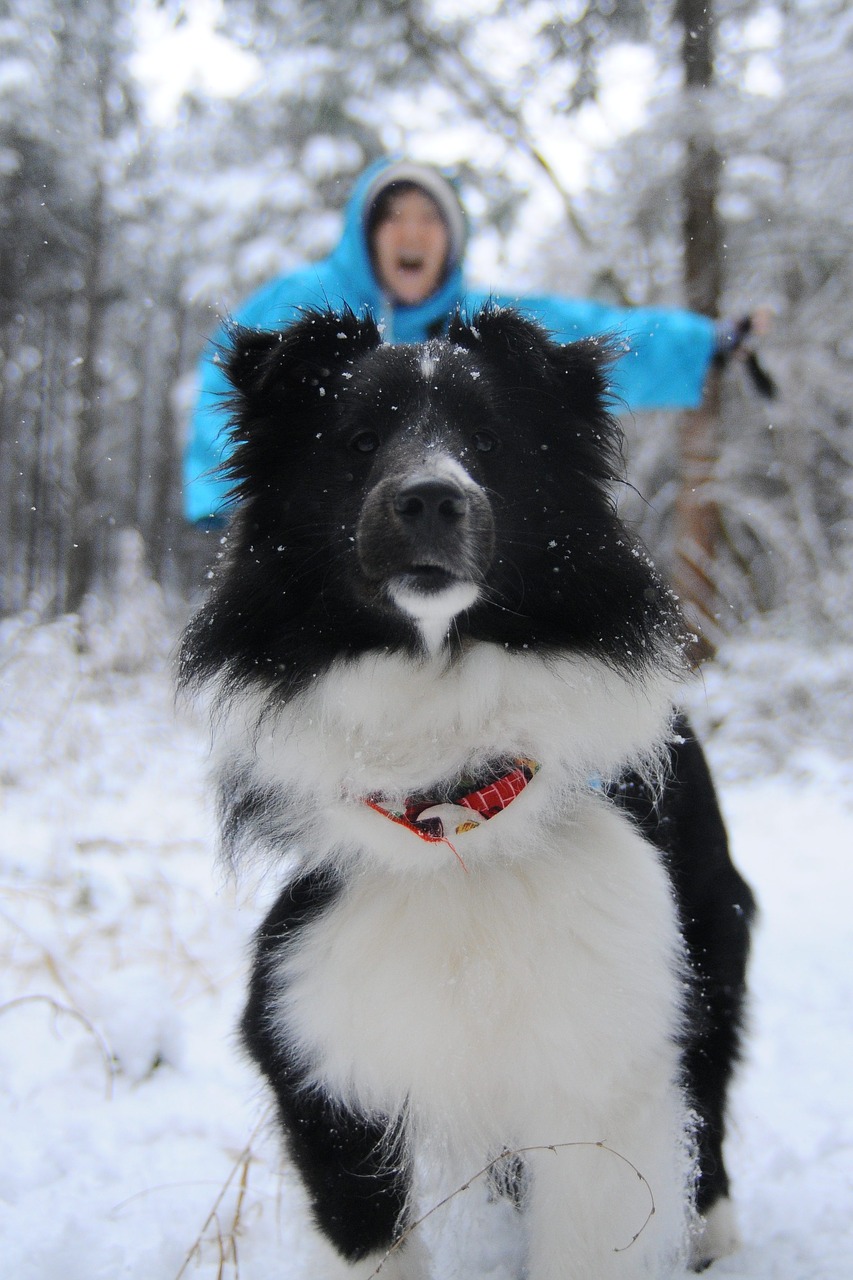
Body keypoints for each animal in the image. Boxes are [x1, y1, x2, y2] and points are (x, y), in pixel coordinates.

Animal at [179, 304, 753, 1274]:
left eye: (487, 442)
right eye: (358, 439)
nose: (429, 499)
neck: (452, 814)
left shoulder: (605, 1056)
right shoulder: (316, 1043)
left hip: (706, 946)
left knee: (707, 1099)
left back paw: (713, 1232)